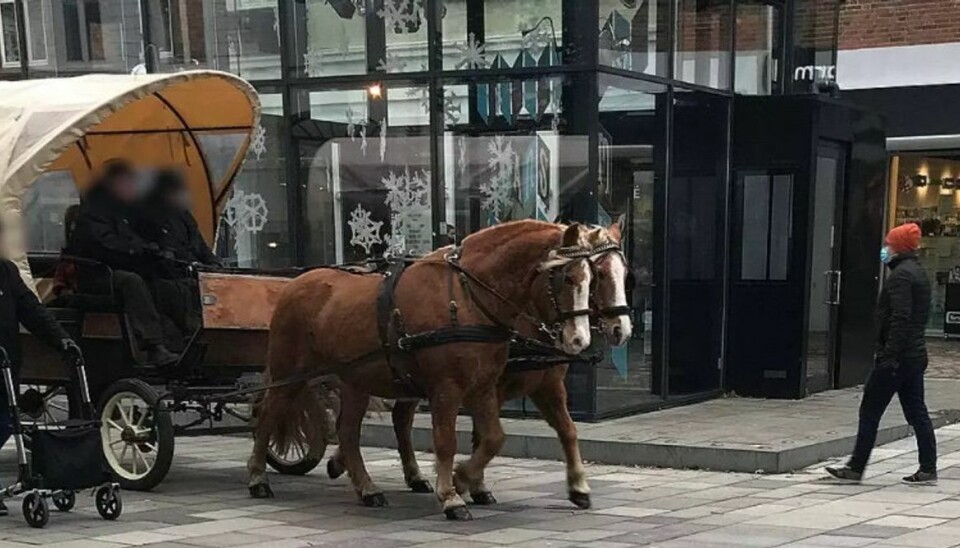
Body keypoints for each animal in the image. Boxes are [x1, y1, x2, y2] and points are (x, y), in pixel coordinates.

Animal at [246, 220, 592, 520]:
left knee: (348, 430)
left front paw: (463, 478)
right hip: (288, 372)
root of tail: (295, 283)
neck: (466, 299)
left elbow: (494, 438)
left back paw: (367, 488)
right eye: (567, 277)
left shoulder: (482, 385)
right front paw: (452, 494)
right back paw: (258, 478)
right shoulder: (447, 387)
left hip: (355, 379)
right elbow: (446, 441)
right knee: (269, 415)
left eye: (591, 278)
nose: (579, 340)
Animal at [326, 222, 632, 510]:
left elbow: (566, 430)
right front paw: (465, 482)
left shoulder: (546, 384)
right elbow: (483, 437)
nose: (622, 330)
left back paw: (408, 475)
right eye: (598, 274)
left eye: (623, 274)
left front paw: (578, 487)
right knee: (353, 425)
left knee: (399, 420)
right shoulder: (487, 388)